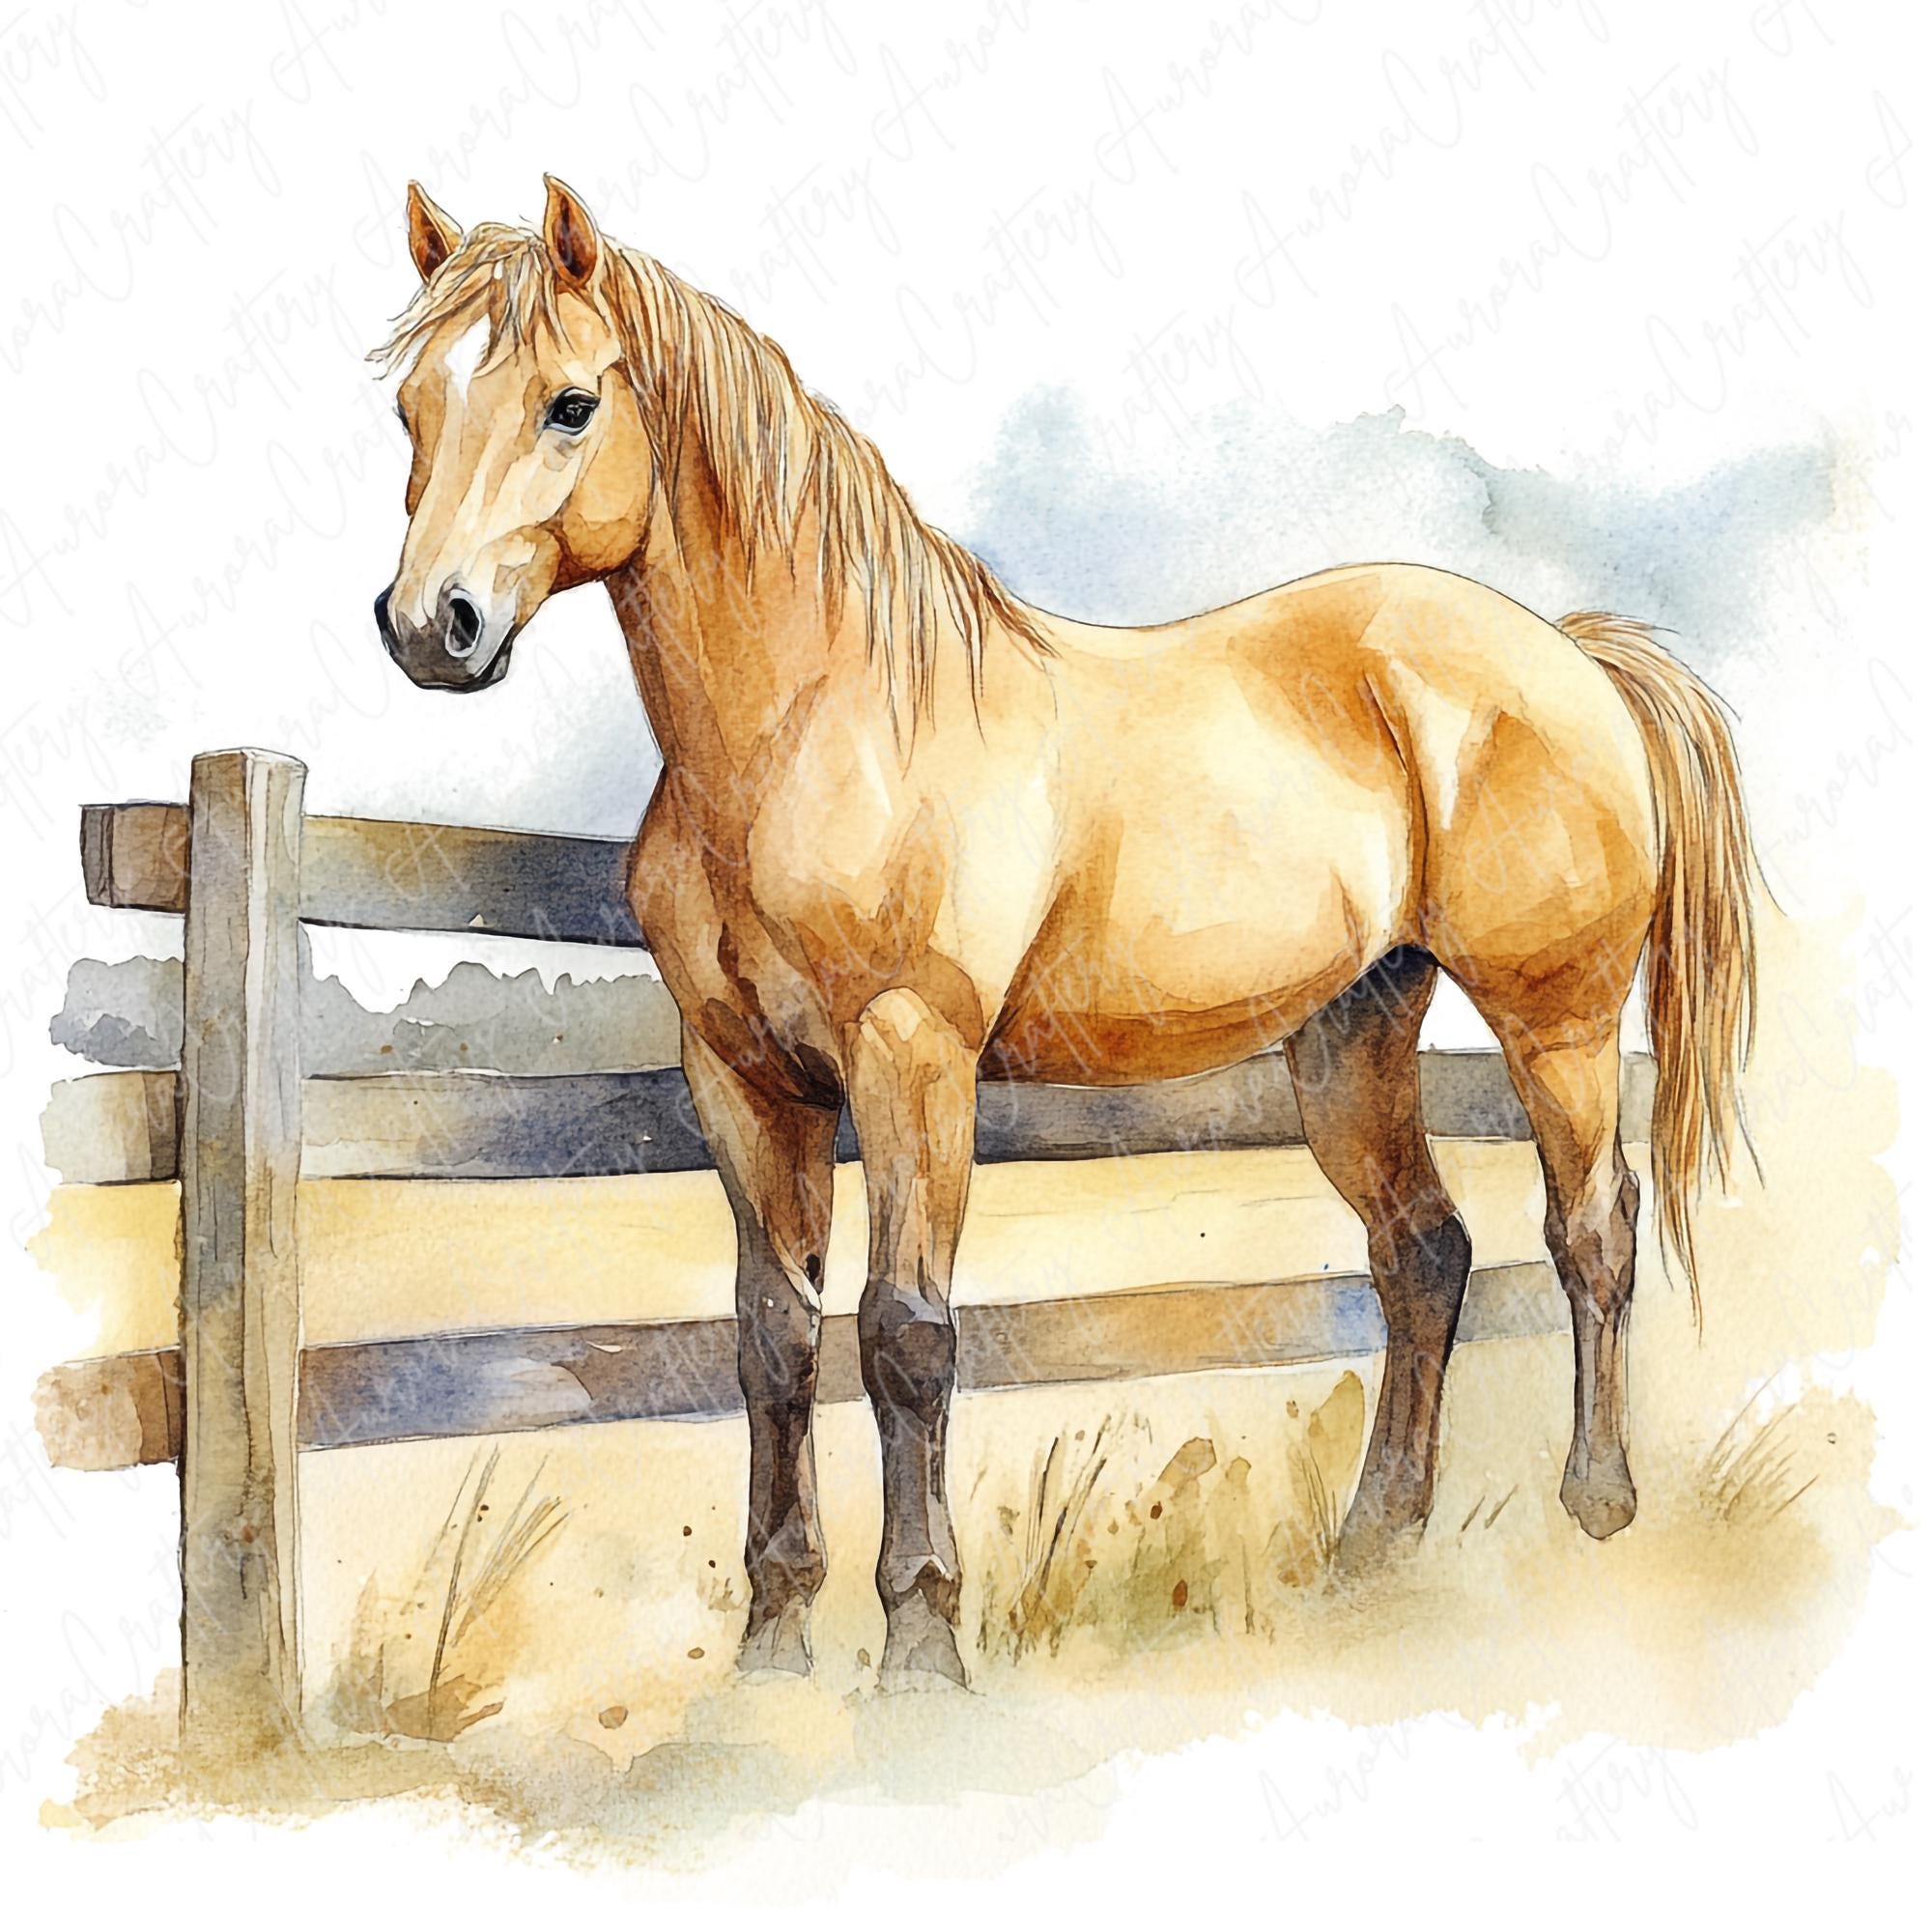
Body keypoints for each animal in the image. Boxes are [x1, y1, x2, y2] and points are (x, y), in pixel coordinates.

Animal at [374, 177, 1758, 1690]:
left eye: (571, 403)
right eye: (411, 407)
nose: (431, 627)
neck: (821, 719)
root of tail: (1573, 655)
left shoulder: (912, 1057)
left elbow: (906, 1335)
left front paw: (922, 1643)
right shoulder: (741, 1078)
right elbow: (774, 1339)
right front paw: (774, 1641)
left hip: (1555, 1020)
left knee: (1591, 1232)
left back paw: (1596, 1507)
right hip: (1353, 1033)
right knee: (1423, 1254)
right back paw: (1374, 1542)